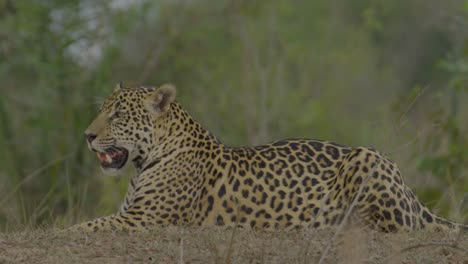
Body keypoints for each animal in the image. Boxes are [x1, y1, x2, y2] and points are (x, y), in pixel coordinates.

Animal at [71, 83, 466, 232]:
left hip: (366, 160)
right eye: (103, 110)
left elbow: (86, 225)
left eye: (118, 115)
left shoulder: (144, 219)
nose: (87, 136)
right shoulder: (132, 215)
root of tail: (411, 192)